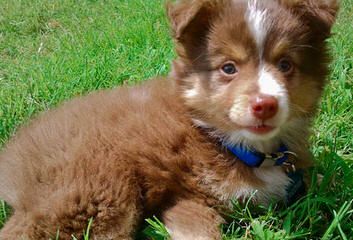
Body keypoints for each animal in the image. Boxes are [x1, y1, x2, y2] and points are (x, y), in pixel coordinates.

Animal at [0, 0, 336, 240]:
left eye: (285, 64)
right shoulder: (189, 196)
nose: (264, 105)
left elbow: (326, 179)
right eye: (228, 68)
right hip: (97, 188)